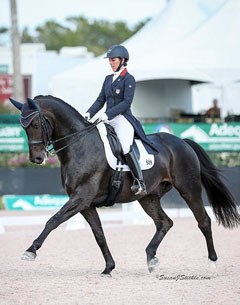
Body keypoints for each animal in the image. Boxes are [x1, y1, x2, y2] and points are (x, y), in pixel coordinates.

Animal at [9, 95, 238, 276]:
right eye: (23, 127)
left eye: (36, 124)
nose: (37, 158)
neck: (79, 145)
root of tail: (182, 142)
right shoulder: (86, 204)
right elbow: (99, 235)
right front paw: (108, 267)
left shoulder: (81, 197)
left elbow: (53, 220)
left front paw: (30, 251)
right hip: (148, 197)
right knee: (164, 222)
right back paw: (151, 259)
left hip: (189, 189)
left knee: (203, 221)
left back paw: (212, 264)